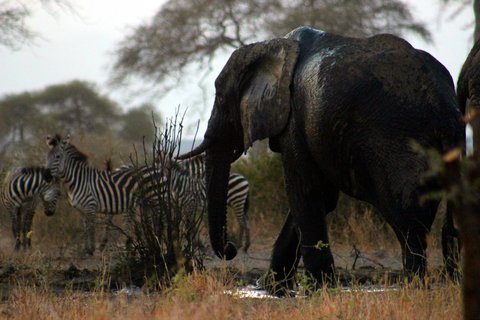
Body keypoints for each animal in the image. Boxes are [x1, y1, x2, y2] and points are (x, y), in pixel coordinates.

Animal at [178, 27, 464, 296]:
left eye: (221, 99)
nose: (230, 250)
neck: (273, 46)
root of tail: (443, 104)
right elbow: (322, 199)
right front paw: (272, 289)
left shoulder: (295, 119)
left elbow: (305, 194)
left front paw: (318, 290)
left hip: (398, 142)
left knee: (408, 219)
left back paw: (413, 288)